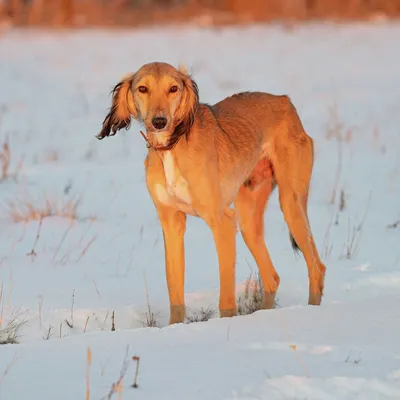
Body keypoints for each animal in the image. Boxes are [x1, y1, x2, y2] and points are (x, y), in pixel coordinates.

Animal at [96, 61, 324, 324]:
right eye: (142, 88)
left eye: (173, 88)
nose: (159, 121)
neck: (172, 146)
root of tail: (284, 100)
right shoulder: (171, 223)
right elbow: (175, 291)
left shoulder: (222, 221)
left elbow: (226, 300)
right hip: (248, 220)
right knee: (272, 277)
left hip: (290, 203)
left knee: (317, 269)